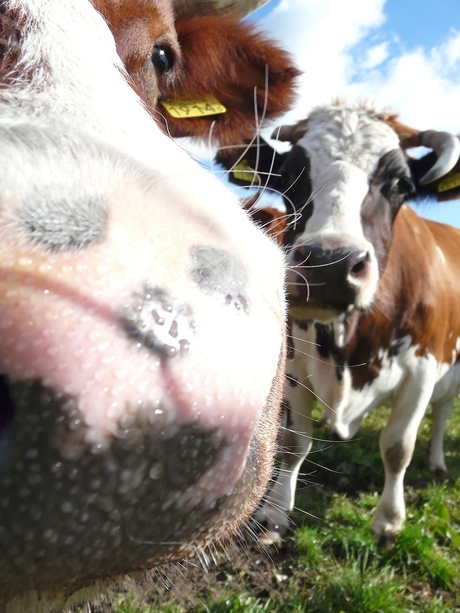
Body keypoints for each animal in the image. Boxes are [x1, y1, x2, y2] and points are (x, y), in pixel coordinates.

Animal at [218, 103, 460, 544]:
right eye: (289, 176)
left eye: (400, 183)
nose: (328, 265)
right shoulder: (293, 366)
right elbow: (295, 440)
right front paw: (275, 513)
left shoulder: (423, 369)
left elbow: (398, 446)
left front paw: (389, 520)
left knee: (443, 411)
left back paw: (436, 460)